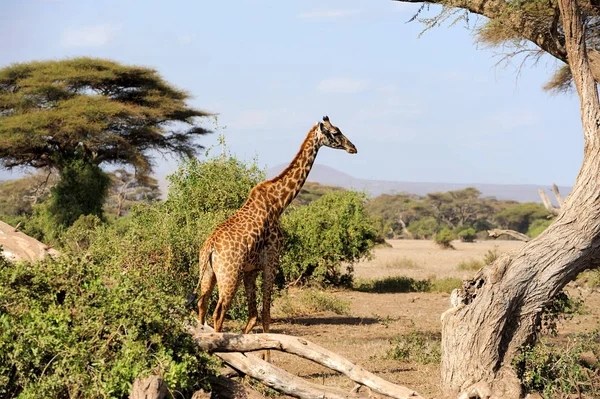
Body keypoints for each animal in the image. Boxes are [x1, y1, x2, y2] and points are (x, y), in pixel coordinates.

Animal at [195, 115, 358, 346]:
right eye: (335, 132)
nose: (353, 147)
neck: (279, 203)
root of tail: (209, 247)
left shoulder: (251, 270)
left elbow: (253, 315)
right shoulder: (272, 260)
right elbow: (265, 314)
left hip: (208, 274)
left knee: (202, 305)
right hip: (229, 275)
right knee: (219, 313)